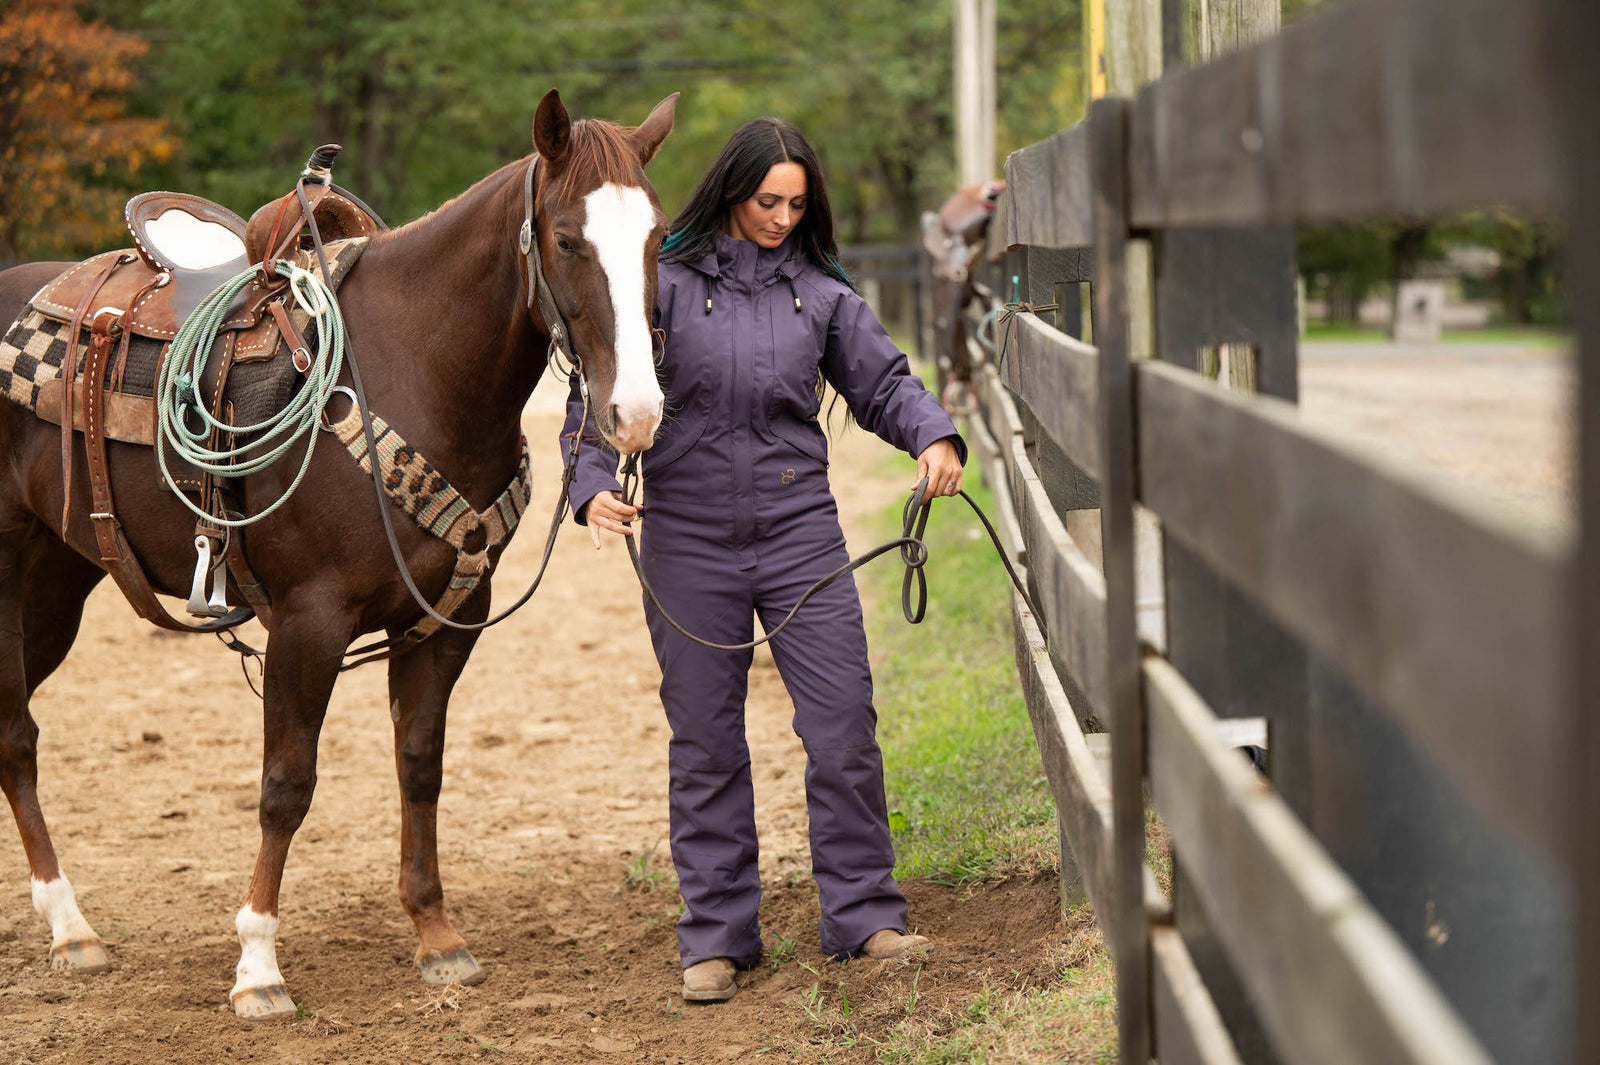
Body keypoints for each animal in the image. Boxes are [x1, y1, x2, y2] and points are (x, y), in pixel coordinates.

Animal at [0, 89, 668, 1010]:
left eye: (659, 236)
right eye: (567, 239)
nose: (636, 412)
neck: (414, 368)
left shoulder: (449, 621)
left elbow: (419, 763)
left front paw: (436, 935)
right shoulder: (307, 622)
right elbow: (287, 786)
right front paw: (257, 966)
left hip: (56, 581)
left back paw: (72, 927)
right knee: (13, 732)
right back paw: (71, 925)